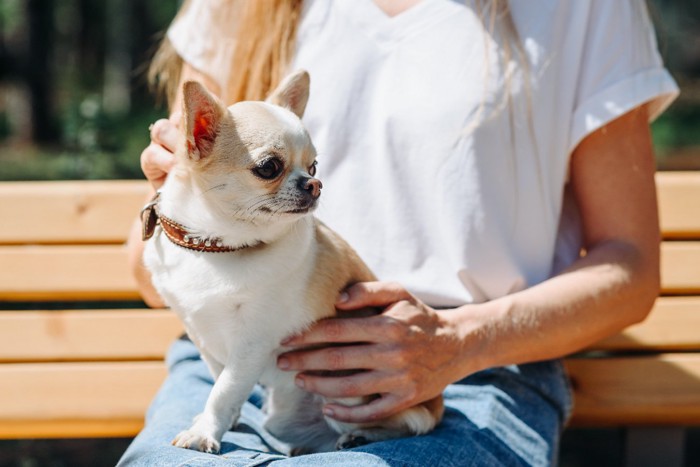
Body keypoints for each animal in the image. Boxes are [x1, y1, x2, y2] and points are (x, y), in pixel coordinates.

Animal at [141, 71, 442, 456]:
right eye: (269, 167)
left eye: (314, 166)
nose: (315, 183)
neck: (215, 246)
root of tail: (436, 405)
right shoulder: (202, 334)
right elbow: (220, 378)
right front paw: (224, 420)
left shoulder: (252, 343)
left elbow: (224, 389)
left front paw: (205, 431)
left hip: (351, 397)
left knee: (412, 423)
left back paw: (360, 436)